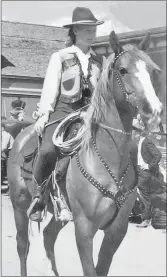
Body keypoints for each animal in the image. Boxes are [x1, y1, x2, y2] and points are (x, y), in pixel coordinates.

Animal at [7, 31, 162, 274]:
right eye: (123, 70)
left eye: (153, 70)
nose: (153, 111)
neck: (108, 160)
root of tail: (22, 135)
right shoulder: (84, 228)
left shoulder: (117, 231)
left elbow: (101, 269)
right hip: (20, 206)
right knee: (23, 246)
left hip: (60, 215)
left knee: (48, 238)